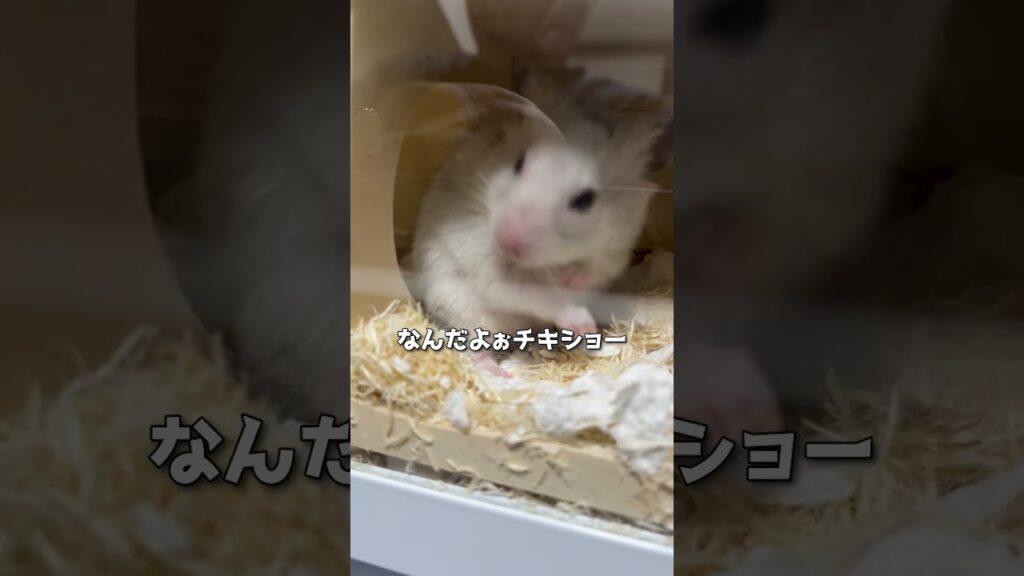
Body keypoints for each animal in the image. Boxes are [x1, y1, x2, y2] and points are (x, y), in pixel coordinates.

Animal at [409, 66, 672, 375]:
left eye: (585, 200)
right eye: (518, 163)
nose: (506, 241)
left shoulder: (614, 251)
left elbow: (592, 270)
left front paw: (571, 280)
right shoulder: (492, 270)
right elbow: (536, 295)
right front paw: (583, 324)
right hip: (458, 307)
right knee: (473, 345)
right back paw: (499, 373)